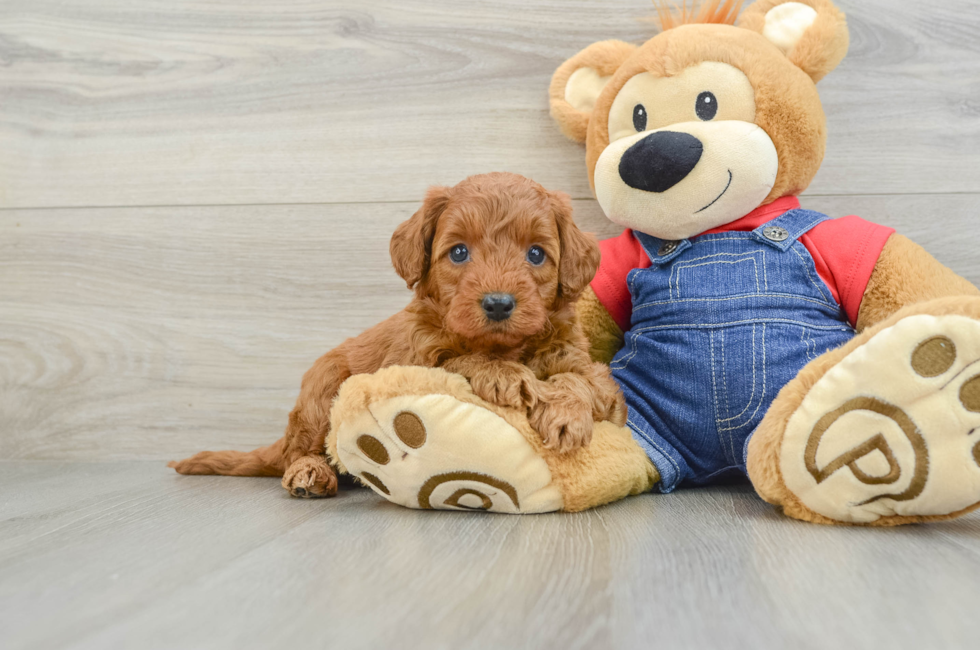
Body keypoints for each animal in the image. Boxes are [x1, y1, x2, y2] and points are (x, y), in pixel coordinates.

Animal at [169, 171, 628, 496]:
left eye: (536, 254)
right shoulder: (419, 357)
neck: (506, 346)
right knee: (301, 449)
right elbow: (461, 359)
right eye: (459, 252)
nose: (498, 304)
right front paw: (505, 376)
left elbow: (583, 381)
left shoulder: (583, 363)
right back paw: (309, 473)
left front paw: (566, 415)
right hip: (322, 390)